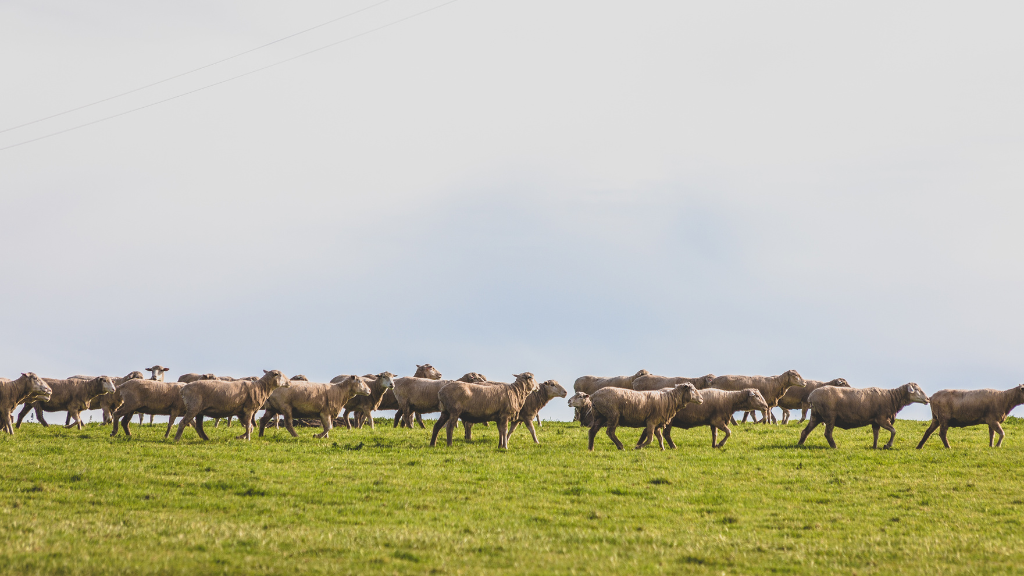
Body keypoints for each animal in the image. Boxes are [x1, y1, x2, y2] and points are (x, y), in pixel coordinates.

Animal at [797, 382, 930, 449]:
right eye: (916, 389)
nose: (928, 399)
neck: (892, 398)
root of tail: (811, 396)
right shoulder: (882, 418)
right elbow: (894, 431)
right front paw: (888, 445)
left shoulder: (875, 421)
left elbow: (876, 434)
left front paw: (874, 447)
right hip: (830, 416)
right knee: (827, 433)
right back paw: (834, 446)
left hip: (816, 415)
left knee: (805, 431)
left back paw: (799, 444)